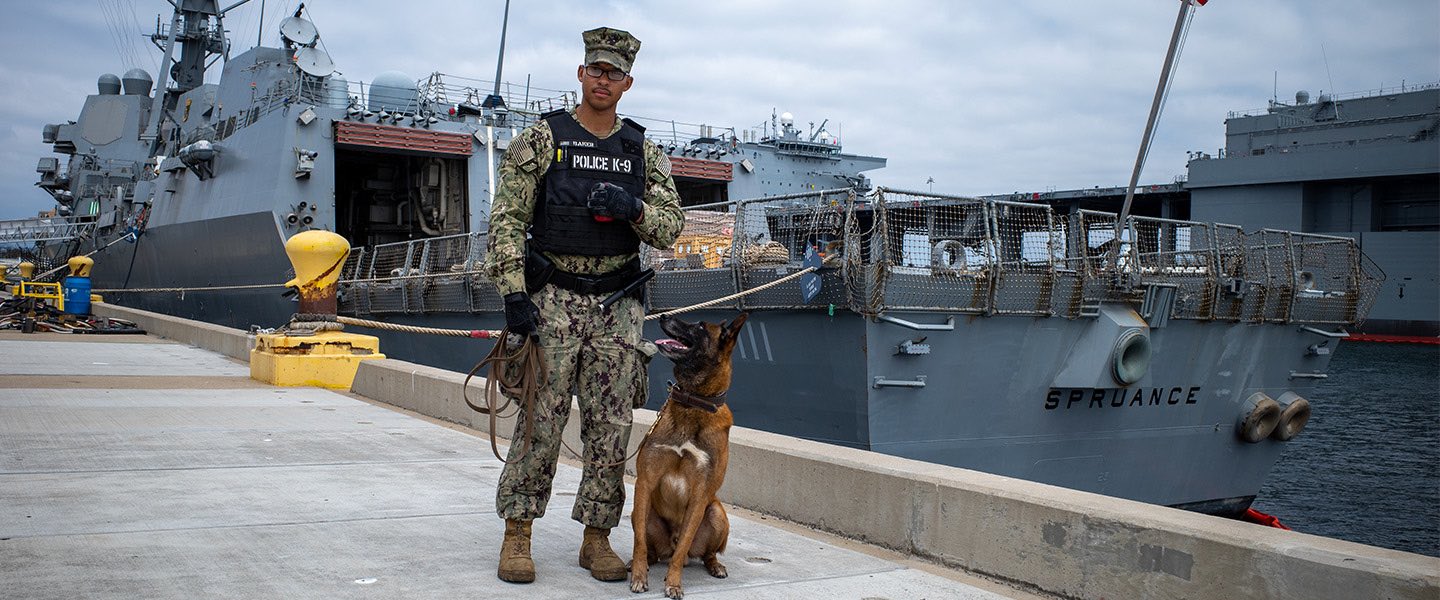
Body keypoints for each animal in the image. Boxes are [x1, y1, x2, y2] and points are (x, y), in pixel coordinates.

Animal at [627, 310, 748, 595]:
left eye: (700, 327)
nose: (662, 316)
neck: (692, 403)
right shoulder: (645, 483)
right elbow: (639, 542)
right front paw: (638, 576)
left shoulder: (701, 496)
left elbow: (683, 547)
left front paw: (673, 583)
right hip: (642, 512)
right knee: (650, 549)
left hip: (716, 513)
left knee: (703, 553)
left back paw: (715, 566)